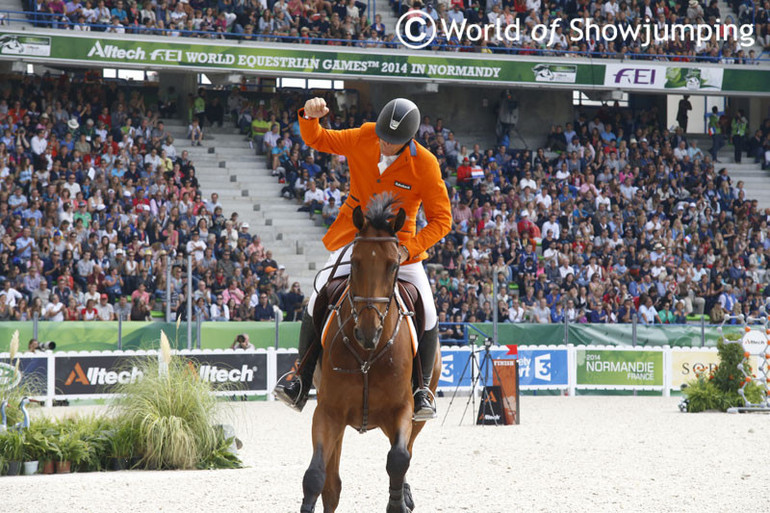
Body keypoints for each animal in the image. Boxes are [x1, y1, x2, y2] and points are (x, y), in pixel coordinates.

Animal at [298, 194, 438, 510]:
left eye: (394, 265)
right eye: (355, 262)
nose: (367, 332)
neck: (367, 357)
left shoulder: (402, 410)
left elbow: (399, 459)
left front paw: (398, 502)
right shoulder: (328, 412)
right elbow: (316, 476)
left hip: (418, 410)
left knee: (408, 450)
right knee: (332, 485)